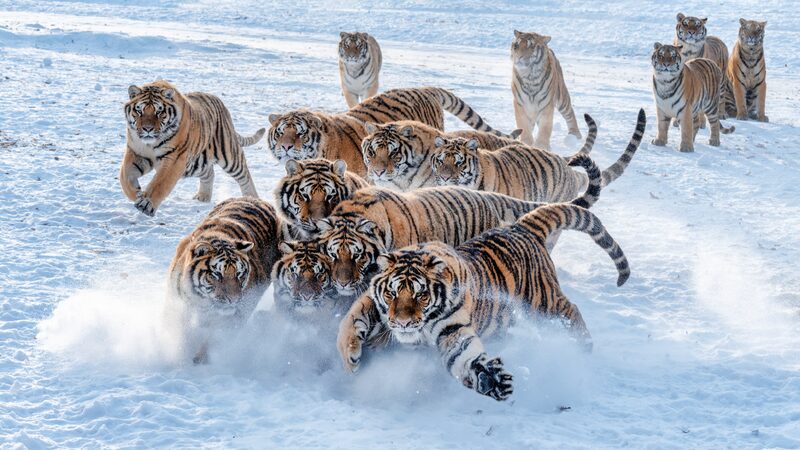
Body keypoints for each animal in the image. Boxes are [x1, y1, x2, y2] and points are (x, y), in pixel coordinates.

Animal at [121, 80, 265, 217]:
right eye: (139, 111)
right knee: (209, 173)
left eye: (159, 112)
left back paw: (252, 199)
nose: (147, 129)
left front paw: (146, 204)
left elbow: (160, 183)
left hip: (229, 156)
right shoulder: (136, 153)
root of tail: (221, 104)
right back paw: (203, 197)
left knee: (244, 176)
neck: (150, 144)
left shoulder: (175, 158)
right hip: (196, 163)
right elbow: (125, 177)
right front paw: (137, 194)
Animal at [168, 197, 281, 364]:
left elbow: (215, 337)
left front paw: (200, 359)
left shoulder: (235, 315)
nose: (234, 300)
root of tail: (255, 199)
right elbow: (182, 330)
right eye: (217, 274)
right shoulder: (178, 303)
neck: (201, 300)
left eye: (240, 274)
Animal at [337, 201, 628, 401]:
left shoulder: (453, 330)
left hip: (544, 302)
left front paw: (492, 380)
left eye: (421, 295)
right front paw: (351, 358)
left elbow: (464, 356)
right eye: (392, 293)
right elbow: (351, 320)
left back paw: (583, 347)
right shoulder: (373, 303)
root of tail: (521, 226)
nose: (403, 323)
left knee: (571, 310)